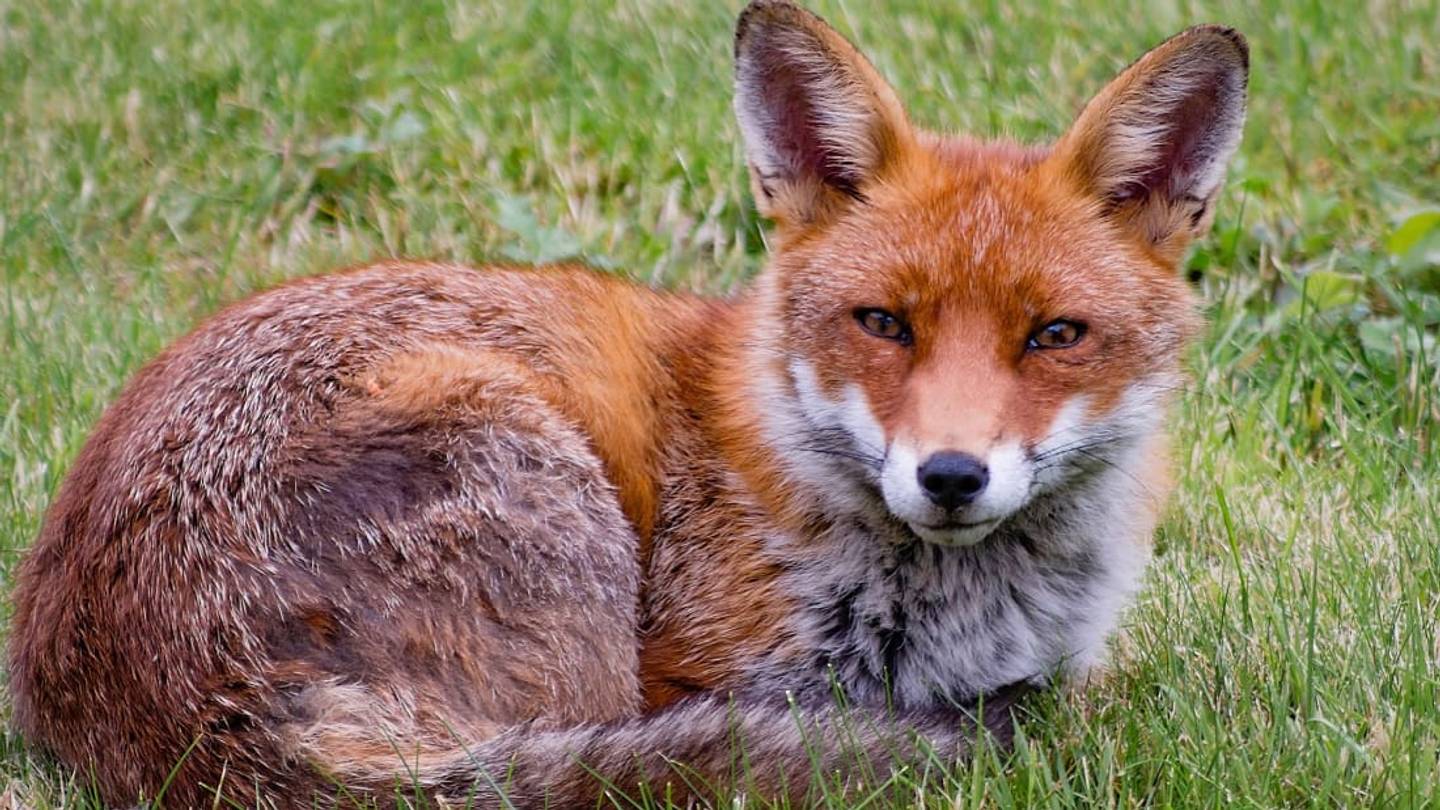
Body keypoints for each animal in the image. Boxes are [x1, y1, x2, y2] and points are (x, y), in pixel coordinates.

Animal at [7, 2, 1248, 807]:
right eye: (883, 323)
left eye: (1054, 338)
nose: (950, 476)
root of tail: (182, 712)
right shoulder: (684, 678)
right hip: (554, 551)